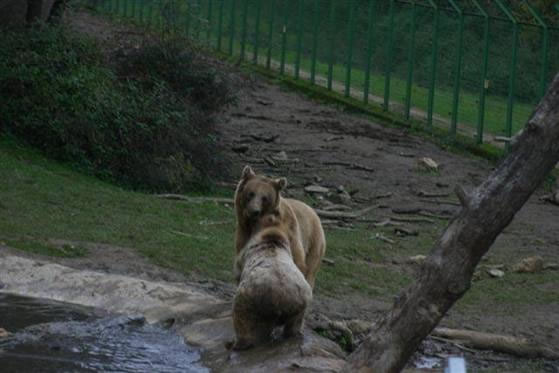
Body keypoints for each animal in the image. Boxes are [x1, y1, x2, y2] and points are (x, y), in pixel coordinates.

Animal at [230, 214, 312, 350]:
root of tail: (280, 301)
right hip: (301, 301)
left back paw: (239, 343)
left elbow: (237, 270)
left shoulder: (245, 253)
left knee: (241, 318)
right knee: (295, 323)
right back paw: (294, 334)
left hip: (250, 298)